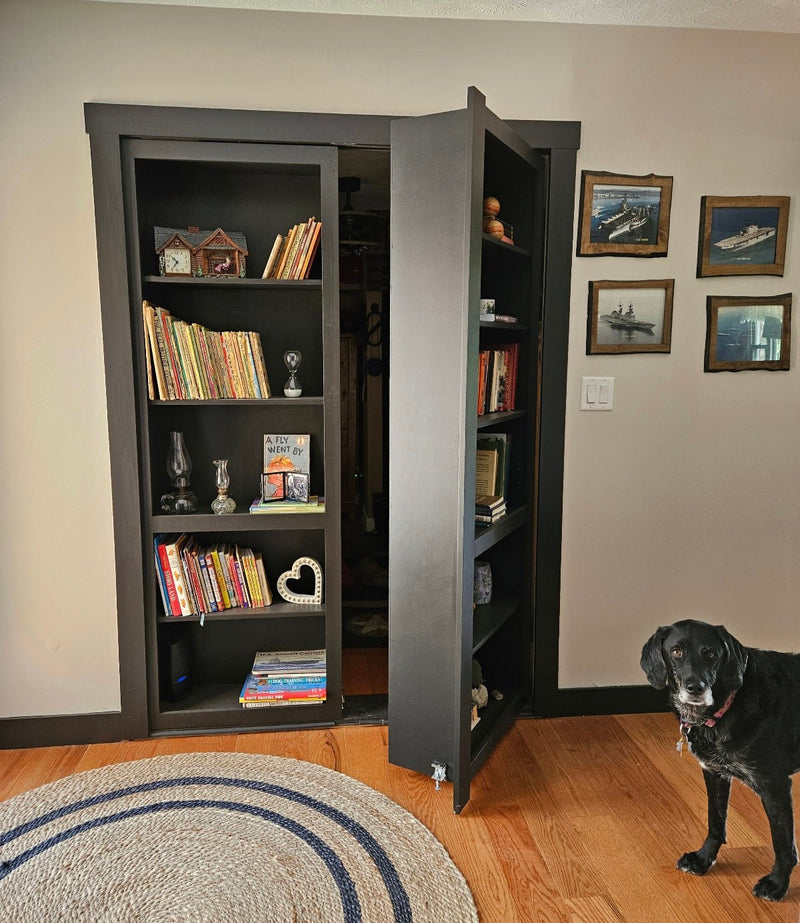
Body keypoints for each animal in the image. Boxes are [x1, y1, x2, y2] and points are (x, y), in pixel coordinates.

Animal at [640, 620, 800, 904]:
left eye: (711, 654)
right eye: (676, 651)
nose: (696, 687)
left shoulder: (775, 787)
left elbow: (783, 844)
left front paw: (777, 884)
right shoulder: (715, 773)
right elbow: (715, 822)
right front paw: (703, 859)